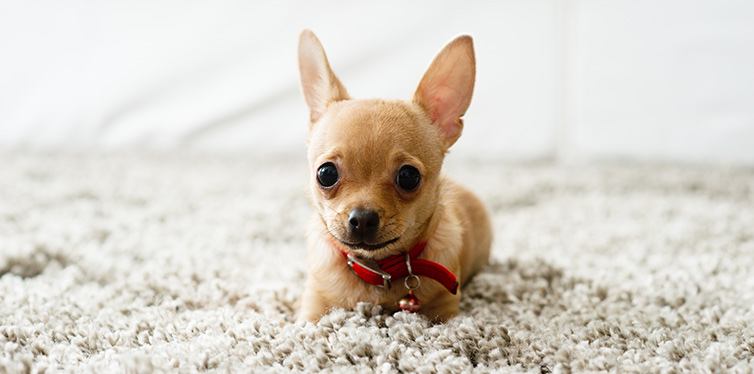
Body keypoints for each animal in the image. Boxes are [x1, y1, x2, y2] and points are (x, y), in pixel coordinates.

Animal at [296, 29, 490, 322]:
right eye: (326, 174)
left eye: (409, 177)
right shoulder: (313, 309)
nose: (362, 219)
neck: (378, 271)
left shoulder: (445, 311)